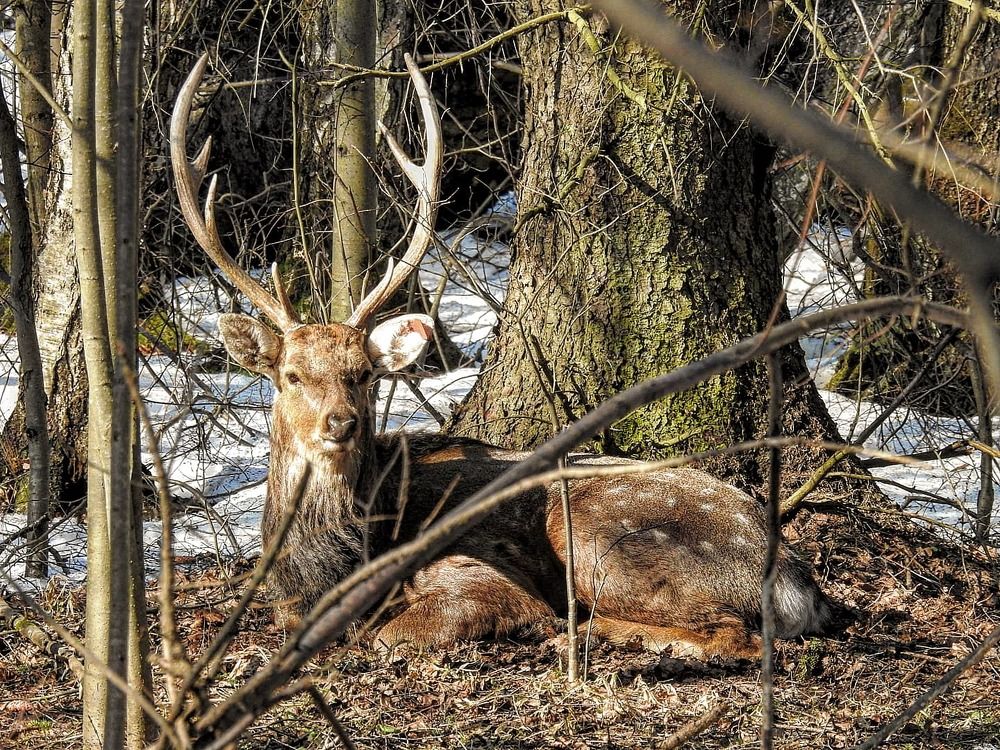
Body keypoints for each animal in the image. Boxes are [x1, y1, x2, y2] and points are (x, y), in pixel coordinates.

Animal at [170, 54, 834, 660]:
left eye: (362, 376)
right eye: (289, 375)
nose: (342, 422)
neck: (330, 567)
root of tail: (798, 581)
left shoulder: (477, 572)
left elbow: (392, 633)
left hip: (601, 536)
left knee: (734, 635)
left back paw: (586, 632)